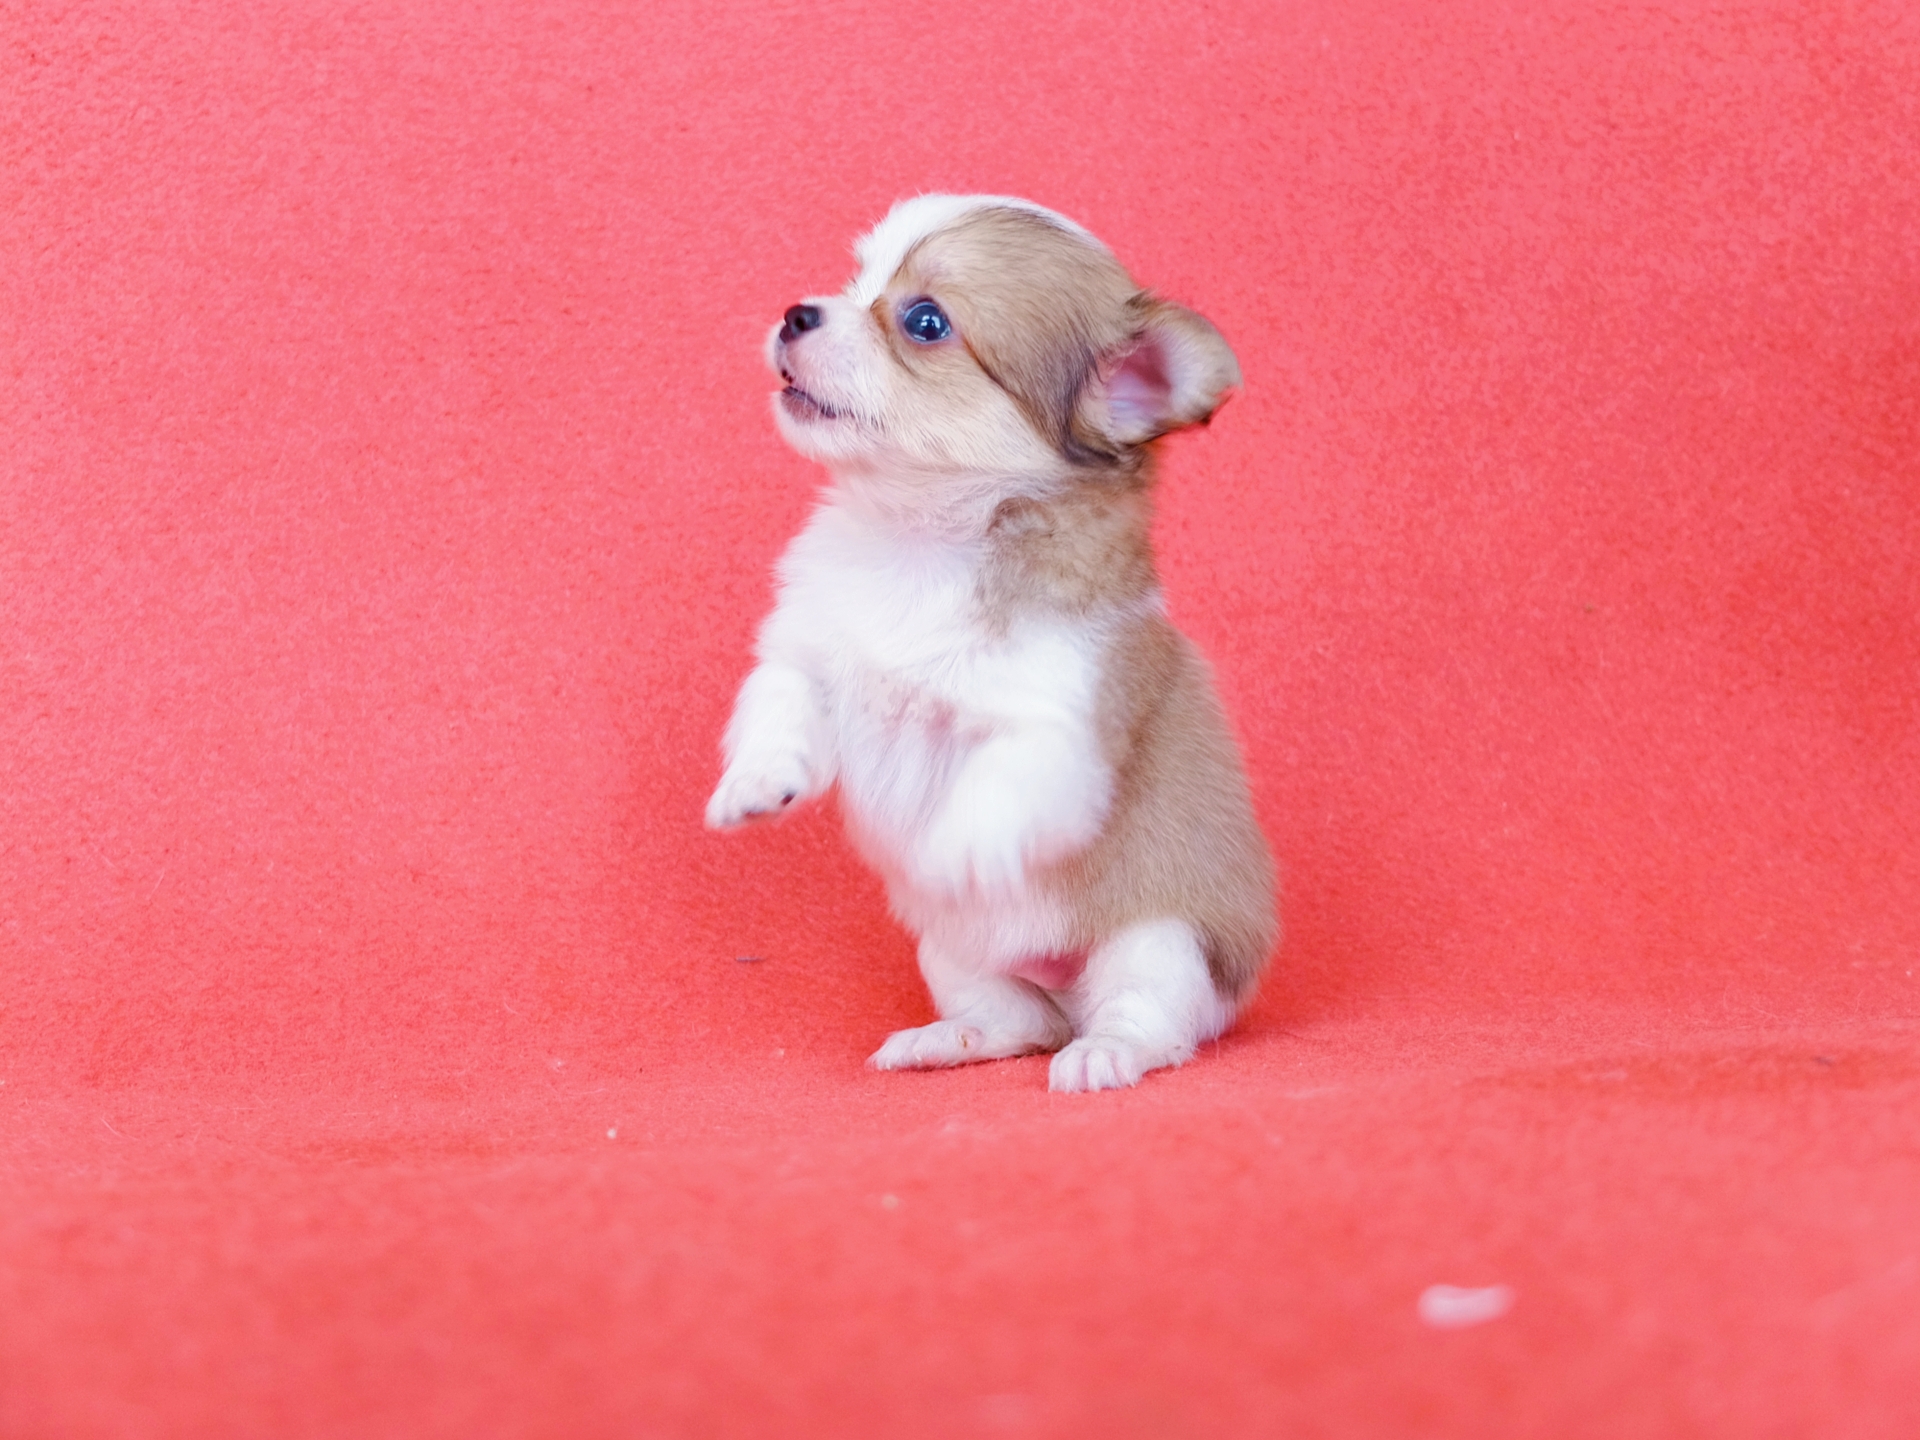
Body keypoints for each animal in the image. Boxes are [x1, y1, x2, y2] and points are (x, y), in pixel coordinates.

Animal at [706, 195, 1276, 1091]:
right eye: (856, 278)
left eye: (925, 321)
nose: (798, 313)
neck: (918, 546)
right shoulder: (806, 656)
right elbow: (778, 710)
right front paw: (756, 784)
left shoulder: (1054, 733)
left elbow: (983, 805)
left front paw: (942, 859)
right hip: (952, 954)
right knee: (1018, 1022)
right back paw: (948, 1040)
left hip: (1159, 944)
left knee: (1148, 1022)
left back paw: (1105, 1054)